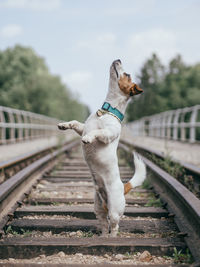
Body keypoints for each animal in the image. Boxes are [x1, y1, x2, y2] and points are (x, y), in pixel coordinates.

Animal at [57, 59, 146, 238]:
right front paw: (64, 125)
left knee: (115, 225)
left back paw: (111, 238)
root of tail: (124, 187)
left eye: (127, 74)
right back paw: (103, 236)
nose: (118, 59)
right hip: (97, 207)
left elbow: (97, 132)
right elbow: (75, 123)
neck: (106, 111)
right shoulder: (83, 127)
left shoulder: (107, 134)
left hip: (114, 208)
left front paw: (88, 139)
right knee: (104, 223)